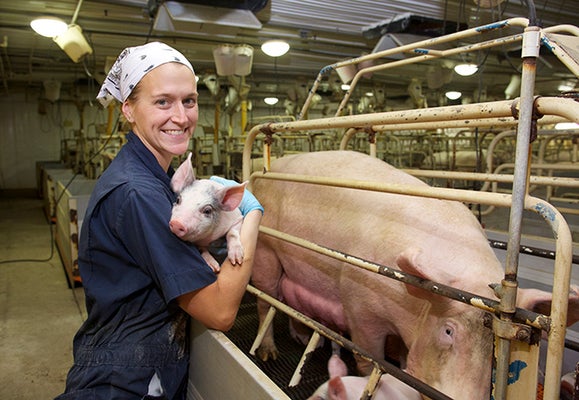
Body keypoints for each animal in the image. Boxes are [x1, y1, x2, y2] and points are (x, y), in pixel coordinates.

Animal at [250, 150, 579, 400]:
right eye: (448, 331)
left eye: (497, 348)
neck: (412, 306)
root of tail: (270, 167)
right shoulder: (357, 303)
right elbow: (369, 357)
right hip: (265, 249)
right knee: (266, 300)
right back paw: (268, 354)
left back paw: (302, 337)